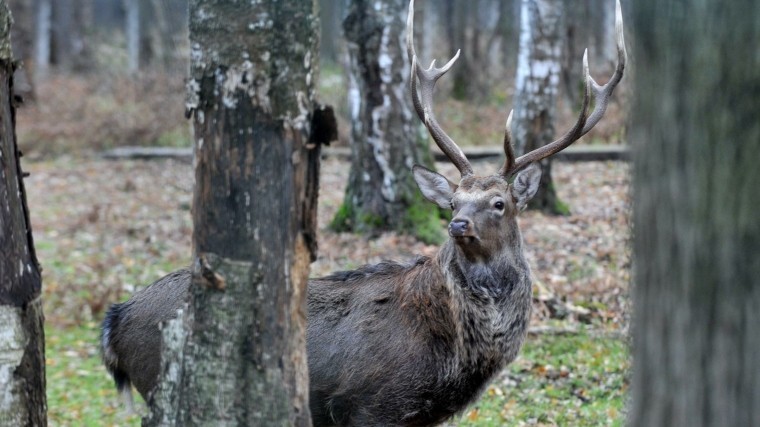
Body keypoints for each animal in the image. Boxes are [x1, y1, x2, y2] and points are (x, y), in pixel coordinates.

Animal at [99, 0, 624, 424]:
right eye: (454, 201)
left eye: (499, 203)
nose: (457, 224)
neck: (453, 350)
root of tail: (116, 320)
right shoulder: (369, 404)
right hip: (158, 382)